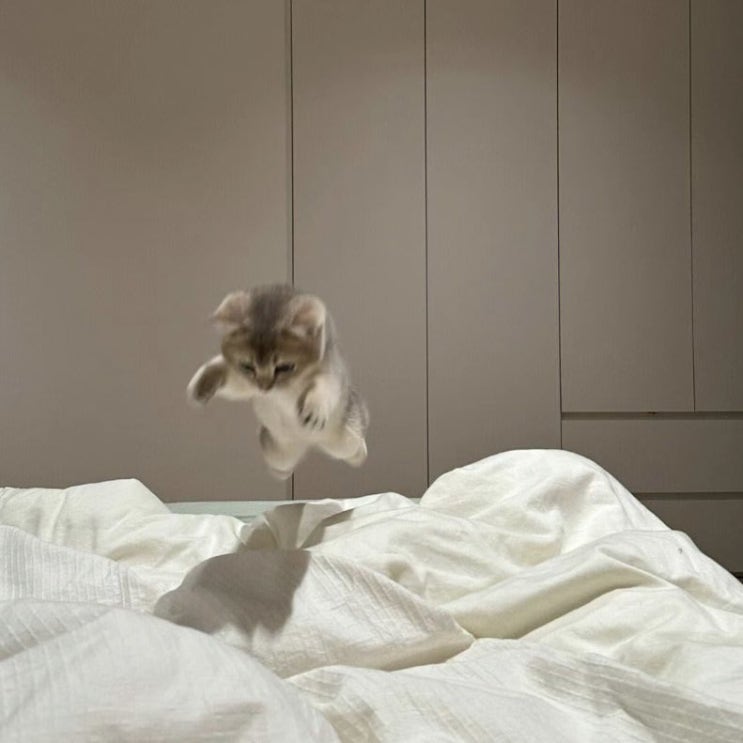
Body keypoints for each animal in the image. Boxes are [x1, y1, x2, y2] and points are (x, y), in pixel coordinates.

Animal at [187, 283, 368, 480]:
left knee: (354, 447)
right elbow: (228, 376)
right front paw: (202, 384)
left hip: (346, 437)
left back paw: (359, 456)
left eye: (285, 367)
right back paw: (281, 473)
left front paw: (314, 407)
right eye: (247, 366)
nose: (265, 387)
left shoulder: (331, 370)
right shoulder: (246, 384)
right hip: (277, 453)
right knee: (281, 464)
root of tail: (309, 443)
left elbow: (325, 385)